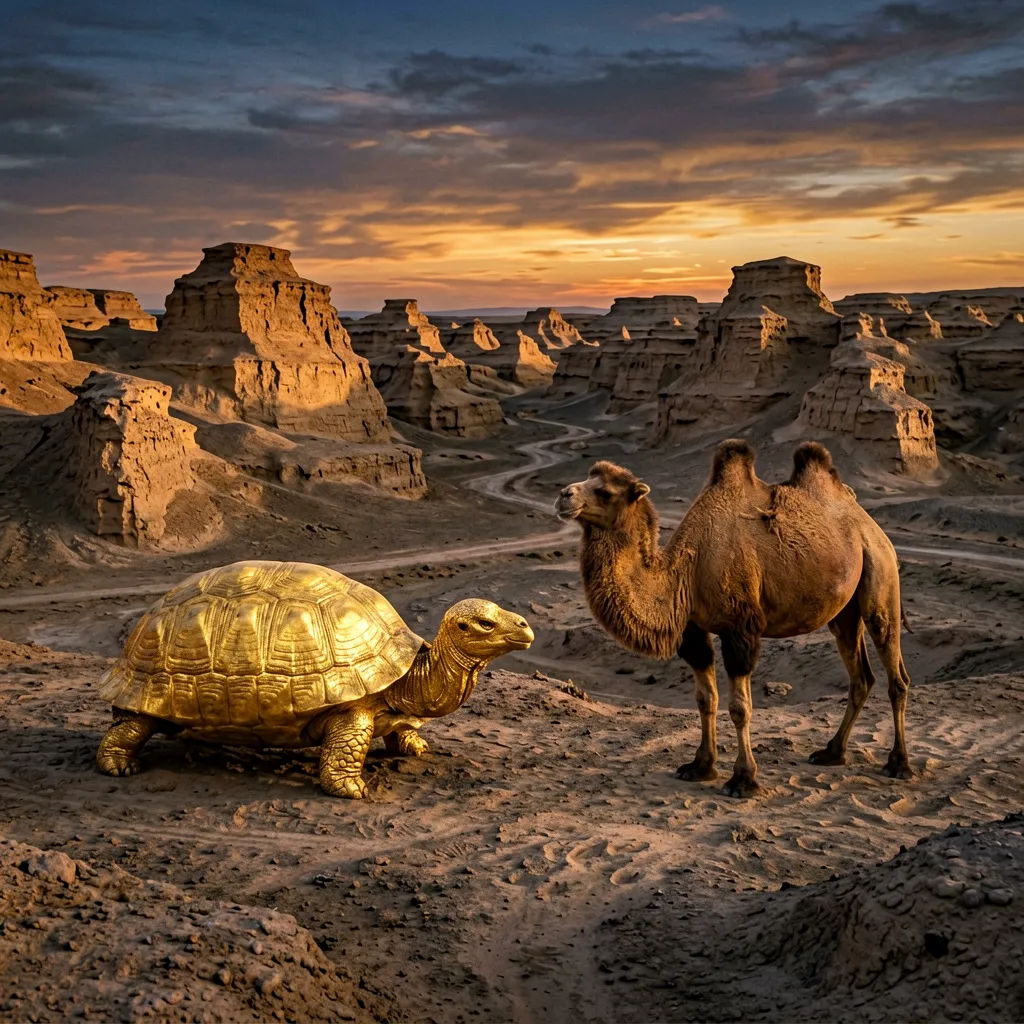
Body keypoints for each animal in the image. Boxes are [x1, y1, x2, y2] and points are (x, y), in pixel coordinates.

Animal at [554, 439, 912, 798]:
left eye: (605, 491)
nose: (563, 494)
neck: (686, 571)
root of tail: (870, 525)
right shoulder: (693, 631)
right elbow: (705, 699)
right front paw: (700, 766)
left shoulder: (740, 628)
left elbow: (740, 708)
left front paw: (743, 779)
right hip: (844, 609)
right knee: (860, 674)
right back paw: (832, 753)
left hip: (880, 571)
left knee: (894, 667)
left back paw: (899, 764)